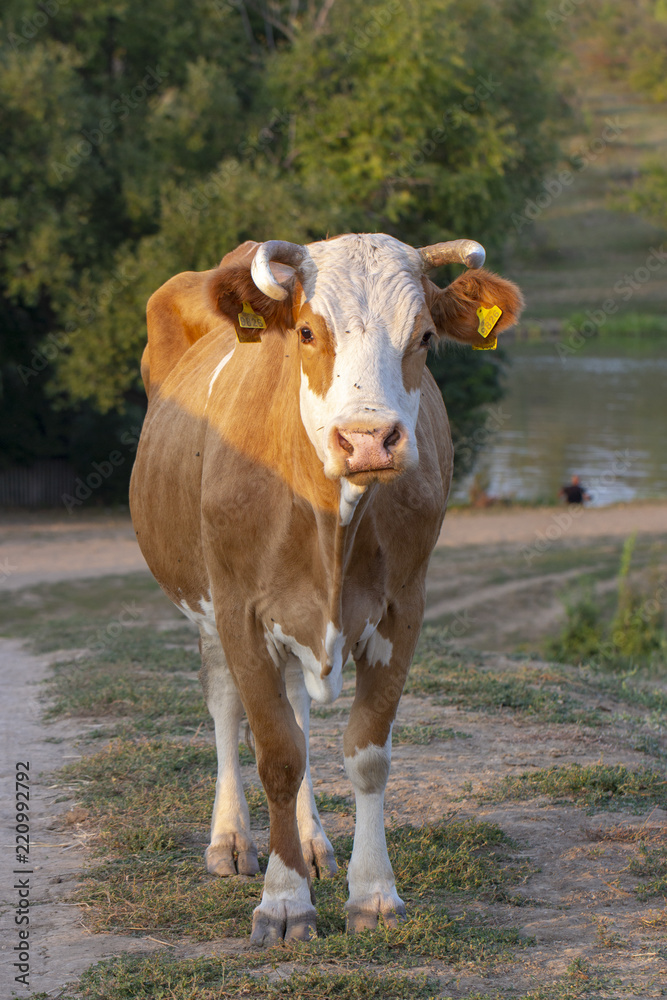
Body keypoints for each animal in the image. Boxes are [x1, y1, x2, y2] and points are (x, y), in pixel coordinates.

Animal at [130, 234, 524, 944]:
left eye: (425, 336)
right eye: (308, 332)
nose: (368, 439)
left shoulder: (403, 609)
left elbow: (364, 752)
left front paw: (373, 894)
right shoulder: (240, 612)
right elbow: (276, 754)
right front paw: (284, 901)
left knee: (299, 712)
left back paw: (311, 841)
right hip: (206, 607)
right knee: (227, 707)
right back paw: (231, 840)